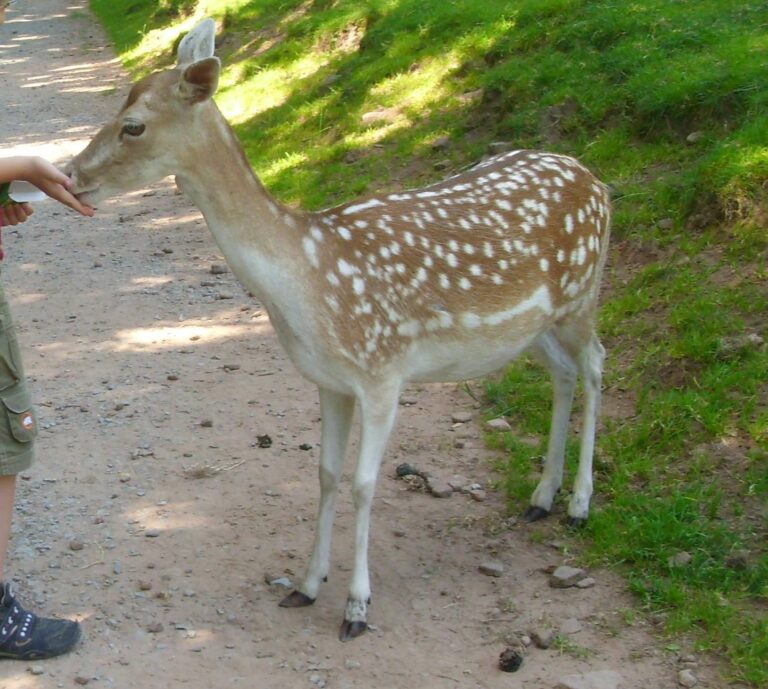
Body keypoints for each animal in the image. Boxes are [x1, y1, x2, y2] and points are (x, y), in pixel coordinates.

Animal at [70, 17, 612, 640]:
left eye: (133, 125)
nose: (72, 174)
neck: (307, 283)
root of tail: (597, 181)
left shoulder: (382, 371)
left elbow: (363, 484)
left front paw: (356, 606)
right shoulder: (329, 381)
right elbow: (327, 474)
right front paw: (306, 585)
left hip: (584, 293)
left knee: (596, 365)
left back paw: (578, 505)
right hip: (537, 324)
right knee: (563, 374)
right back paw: (542, 496)